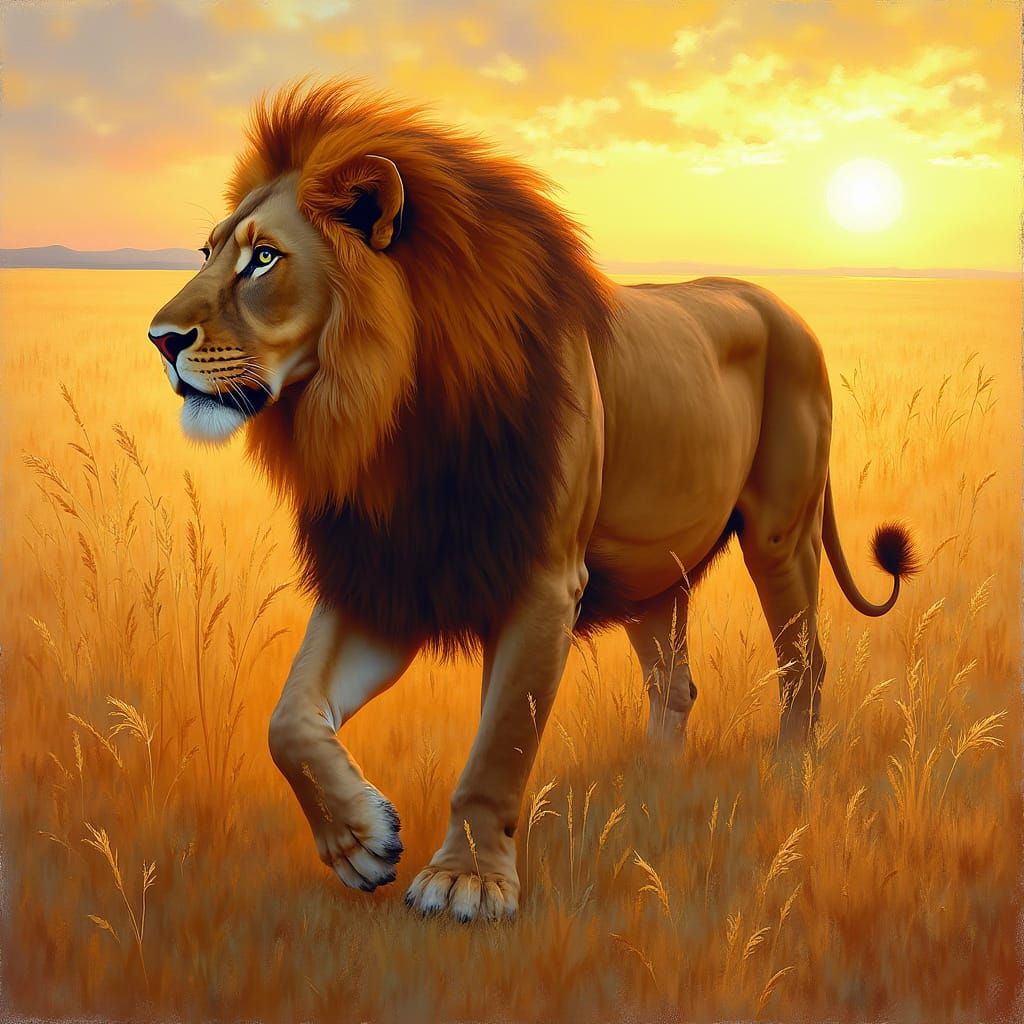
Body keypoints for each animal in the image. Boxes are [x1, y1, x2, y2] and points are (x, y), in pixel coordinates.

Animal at [147, 79, 918, 922]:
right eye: (208, 253)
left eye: (263, 258)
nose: (159, 338)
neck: (388, 420)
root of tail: (782, 304)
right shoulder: (390, 573)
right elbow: (287, 718)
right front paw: (360, 842)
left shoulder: (542, 581)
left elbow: (498, 745)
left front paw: (466, 880)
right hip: (655, 572)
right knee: (675, 685)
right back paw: (652, 786)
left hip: (783, 534)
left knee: (804, 663)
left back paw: (788, 775)